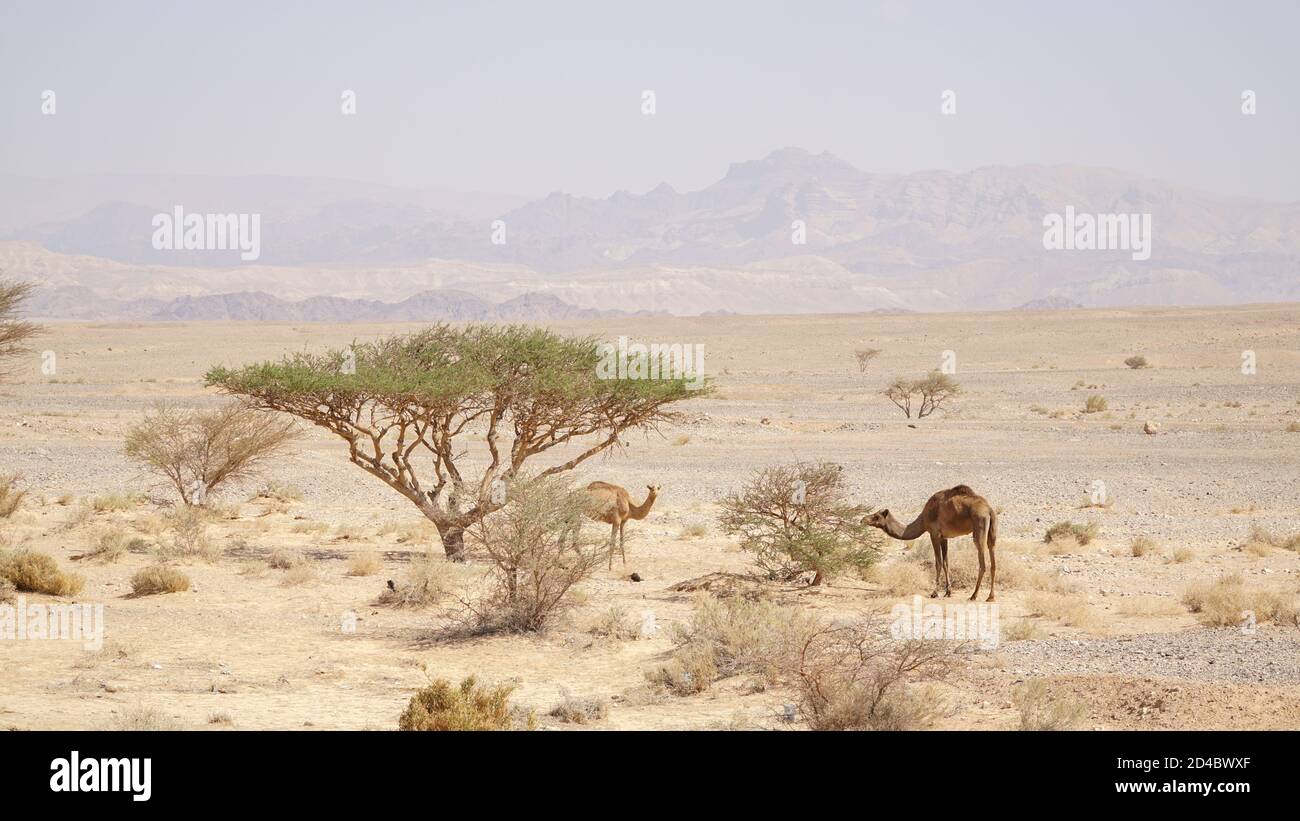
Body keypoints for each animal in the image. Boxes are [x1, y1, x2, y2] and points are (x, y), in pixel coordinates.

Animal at [857, 483, 998, 600]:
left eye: (876, 516)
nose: (862, 520)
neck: (923, 520)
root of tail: (989, 510)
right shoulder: (944, 537)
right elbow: (946, 563)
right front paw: (948, 592)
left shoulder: (934, 534)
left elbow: (938, 563)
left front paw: (934, 593)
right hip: (992, 532)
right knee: (993, 560)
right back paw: (990, 597)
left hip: (979, 525)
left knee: (982, 563)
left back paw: (974, 595)